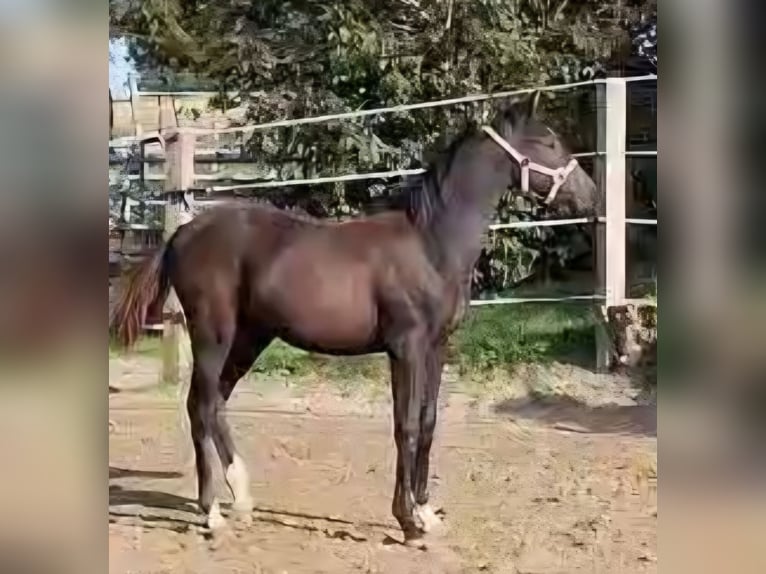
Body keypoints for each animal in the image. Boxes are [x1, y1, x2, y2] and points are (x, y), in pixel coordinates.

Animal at [109, 92, 600, 548]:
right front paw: (407, 522)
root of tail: (182, 233)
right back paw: (214, 513)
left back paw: (235, 501)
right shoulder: (405, 348)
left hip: (250, 338)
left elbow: (428, 423)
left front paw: (426, 514)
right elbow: (405, 426)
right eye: (548, 141)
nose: (590, 194)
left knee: (212, 405)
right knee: (201, 405)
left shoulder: (437, 347)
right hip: (214, 333)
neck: (430, 244)